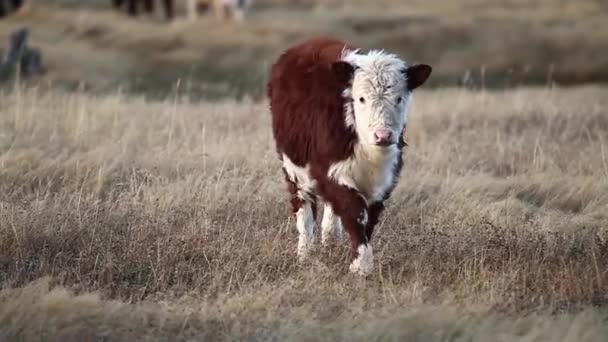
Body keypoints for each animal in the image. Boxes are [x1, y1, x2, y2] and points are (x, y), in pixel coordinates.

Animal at [268, 36, 432, 276]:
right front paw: (361, 265)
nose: (383, 135)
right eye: (361, 99)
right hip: (293, 166)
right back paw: (305, 253)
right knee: (304, 207)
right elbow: (355, 212)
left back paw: (330, 241)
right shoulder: (329, 170)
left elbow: (369, 218)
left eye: (399, 98)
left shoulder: (384, 178)